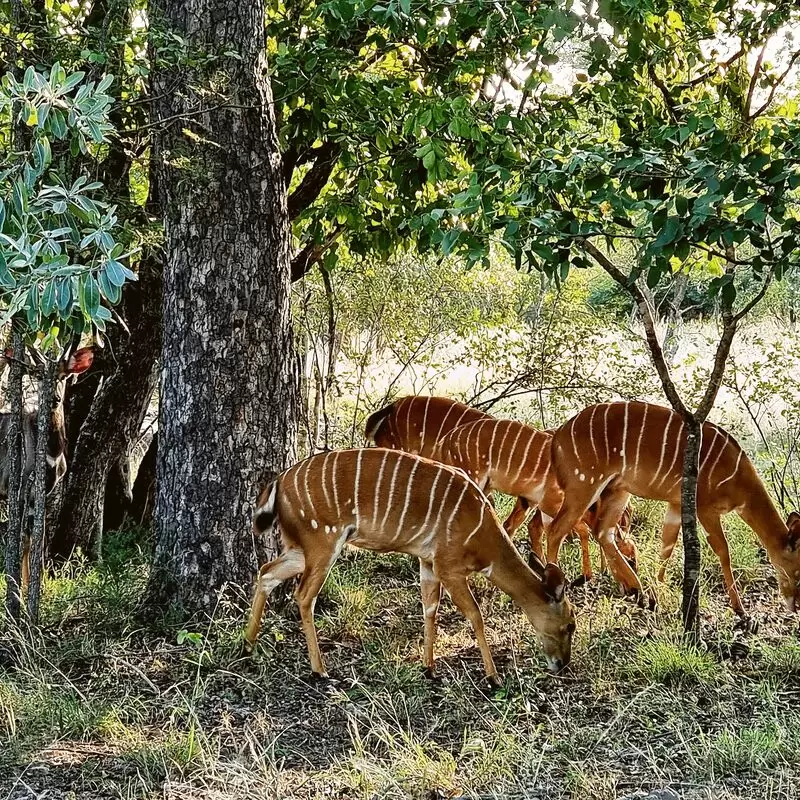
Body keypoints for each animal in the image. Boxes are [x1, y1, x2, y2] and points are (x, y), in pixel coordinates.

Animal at [0, 346, 94, 592]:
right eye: (39, 376)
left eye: (63, 376)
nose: (55, 398)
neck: (52, 452)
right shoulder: (20, 487)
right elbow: (24, 538)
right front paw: (21, 592)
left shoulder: (44, 493)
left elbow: (40, 537)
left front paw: (37, 586)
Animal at [244, 446, 576, 680]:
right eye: (570, 625)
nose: (562, 664)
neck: (482, 535)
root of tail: (279, 482)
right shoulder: (448, 565)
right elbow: (474, 614)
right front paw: (493, 676)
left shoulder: (427, 561)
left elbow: (430, 608)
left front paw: (429, 669)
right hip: (323, 542)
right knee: (303, 595)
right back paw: (320, 670)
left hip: (300, 548)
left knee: (266, 572)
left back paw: (248, 645)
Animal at [434, 418, 640, 592]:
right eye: (631, 557)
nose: (632, 590)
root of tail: (444, 442)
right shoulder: (553, 503)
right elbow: (577, 531)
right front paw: (576, 578)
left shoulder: (540, 504)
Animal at [548, 404, 800, 616]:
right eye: (797, 570)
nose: (795, 605)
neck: (738, 479)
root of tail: (557, 437)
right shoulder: (704, 507)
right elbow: (723, 550)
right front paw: (740, 610)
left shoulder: (677, 503)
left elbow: (667, 545)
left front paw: (656, 597)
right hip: (584, 484)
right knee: (556, 530)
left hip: (618, 489)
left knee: (602, 532)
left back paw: (637, 590)